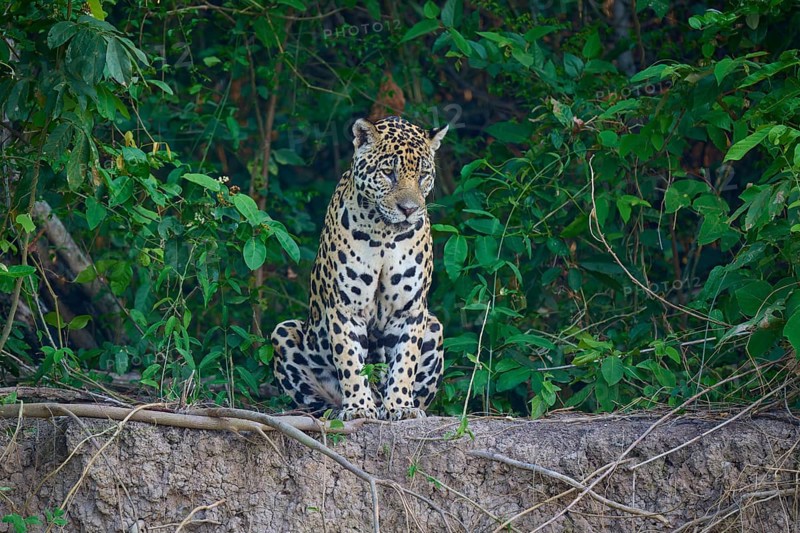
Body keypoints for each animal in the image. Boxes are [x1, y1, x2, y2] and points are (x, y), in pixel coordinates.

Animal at [271, 115, 448, 421]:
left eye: (423, 175)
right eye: (389, 172)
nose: (410, 210)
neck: (385, 235)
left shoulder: (410, 310)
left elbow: (405, 361)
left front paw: (400, 405)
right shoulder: (344, 307)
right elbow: (349, 358)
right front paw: (358, 407)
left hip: (434, 326)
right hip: (283, 332)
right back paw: (338, 409)